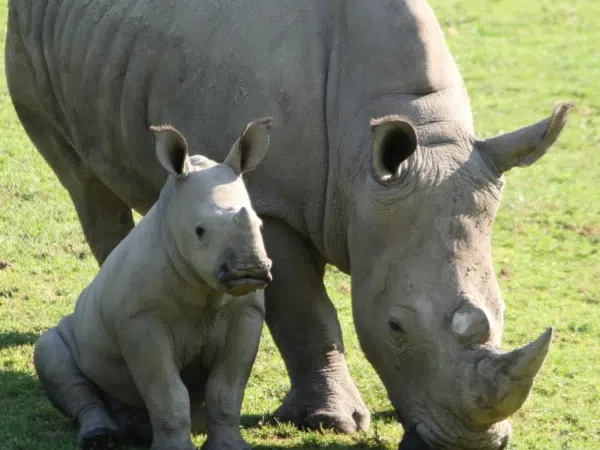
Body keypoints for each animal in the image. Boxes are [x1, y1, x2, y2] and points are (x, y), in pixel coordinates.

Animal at [34, 118, 274, 448]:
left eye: (261, 225)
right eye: (199, 231)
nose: (249, 270)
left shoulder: (245, 313)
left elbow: (226, 389)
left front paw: (230, 446)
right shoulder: (141, 320)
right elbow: (166, 392)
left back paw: (138, 431)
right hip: (72, 328)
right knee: (52, 354)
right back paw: (101, 437)